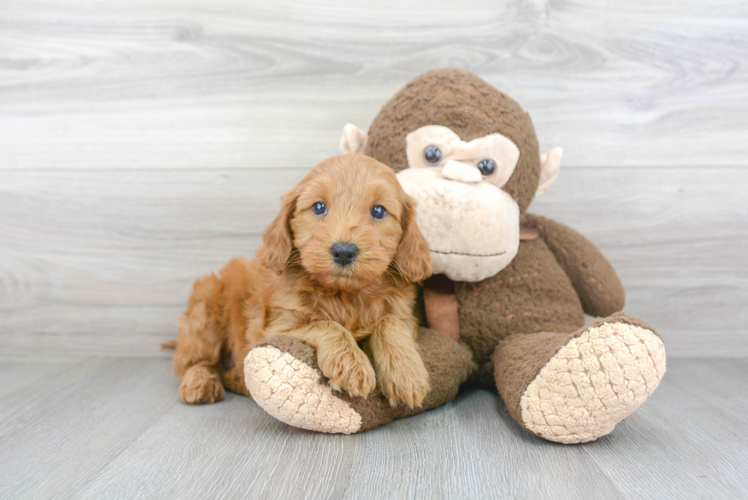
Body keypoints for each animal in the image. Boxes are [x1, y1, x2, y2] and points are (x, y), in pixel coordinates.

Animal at [169, 154, 432, 408]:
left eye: (378, 211)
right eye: (318, 207)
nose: (343, 251)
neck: (345, 295)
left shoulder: (405, 313)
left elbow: (390, 322)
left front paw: (407, 374)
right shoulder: (275, 327)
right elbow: (325, 324)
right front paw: (351, 364)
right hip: (206, 307)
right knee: (193, 362)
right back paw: (199, 383)